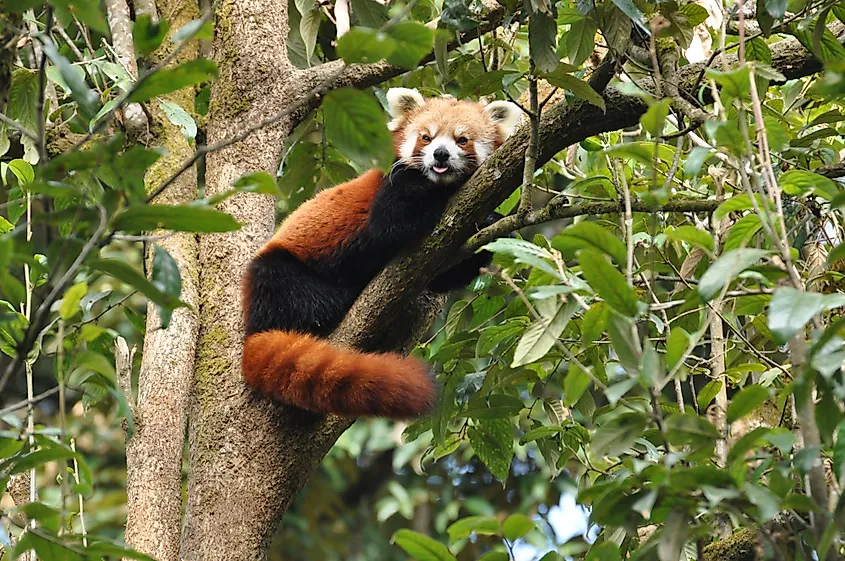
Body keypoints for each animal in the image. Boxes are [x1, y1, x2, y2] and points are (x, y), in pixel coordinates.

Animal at [241, 88, 520, 416]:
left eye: (461, 139)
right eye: (426, 137)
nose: (440, 154)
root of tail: (254, 324)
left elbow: (443, 277)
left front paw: (494, 225)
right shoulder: (394, 186)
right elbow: (392, 223)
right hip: (278, 273)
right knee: (300, 294)